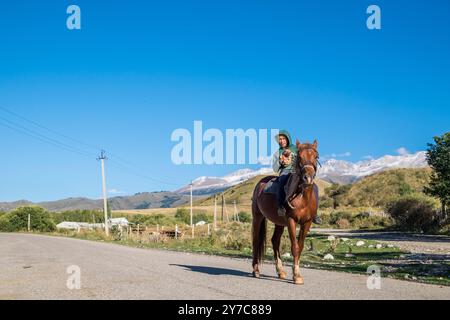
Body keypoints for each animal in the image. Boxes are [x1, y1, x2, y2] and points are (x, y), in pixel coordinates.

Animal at [251, 139, 318, 284]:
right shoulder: (291, 221)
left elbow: (301, 246)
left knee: (275, 241)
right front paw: (296, 275)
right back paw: (256, 270)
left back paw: (280, 271)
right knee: (256, 240)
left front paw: (296, 272)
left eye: (316, 157)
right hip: (258, 217)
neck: (302, 197)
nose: (308, 179)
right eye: (299, 157)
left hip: (279, 223)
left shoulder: (307, 223)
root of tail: (260, 184)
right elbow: (295, 247)